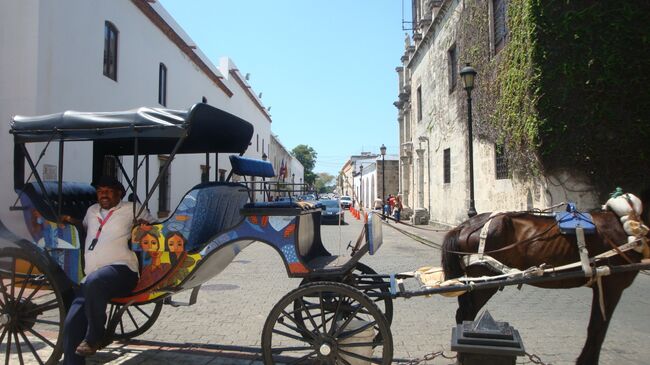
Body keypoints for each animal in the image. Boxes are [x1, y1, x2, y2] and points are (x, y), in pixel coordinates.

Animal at [440, 206, 648, 362]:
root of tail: (465, 225)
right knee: (466, 314)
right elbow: (598, 328)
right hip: (484, 280)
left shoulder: (603, 285)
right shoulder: (611, 283)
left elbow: (597, 326)